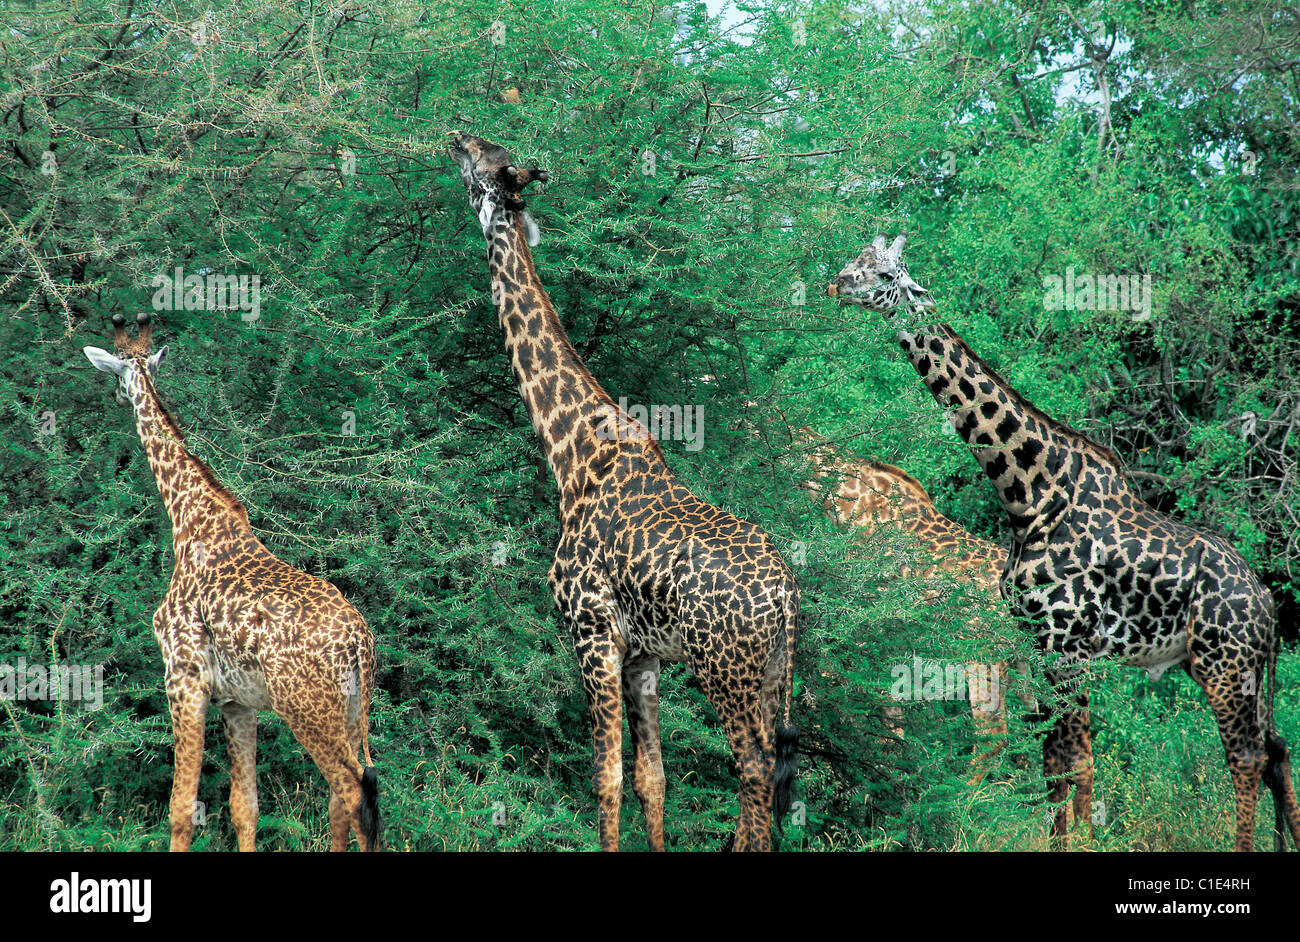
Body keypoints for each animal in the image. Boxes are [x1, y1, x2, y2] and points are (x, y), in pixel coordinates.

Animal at [83, 313, 379, 852]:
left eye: (114, 373)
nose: (116, 398)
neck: (189, 518)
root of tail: (360, 644)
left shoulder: (184, 679)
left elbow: (181, 807)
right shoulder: (239, 702)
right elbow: (246, 808)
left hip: (306, 708)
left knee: (350, 793)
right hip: (350, 710)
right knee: (352, 794)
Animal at [449, 132, 800, 851]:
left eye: (484, 160)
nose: (453, 136)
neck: (570, 454)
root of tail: (785, 597)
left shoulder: (590, 631)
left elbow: (605, 777)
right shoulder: (643, 656)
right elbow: (652, 781)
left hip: (726, 670)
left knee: (752, 770)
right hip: (773, 674)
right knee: (767, 778)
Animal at [829, 234, 1300, 851]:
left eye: (885, 273)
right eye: (857, 258)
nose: (837, 283)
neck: (1028, 491)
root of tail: (1267, 607)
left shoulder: (1065, 644)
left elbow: (1070, 761)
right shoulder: (1040, 644)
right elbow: (1057, 763)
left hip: (1225, 663)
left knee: (1245, 757)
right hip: (1229, 667)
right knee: (1277, 751)